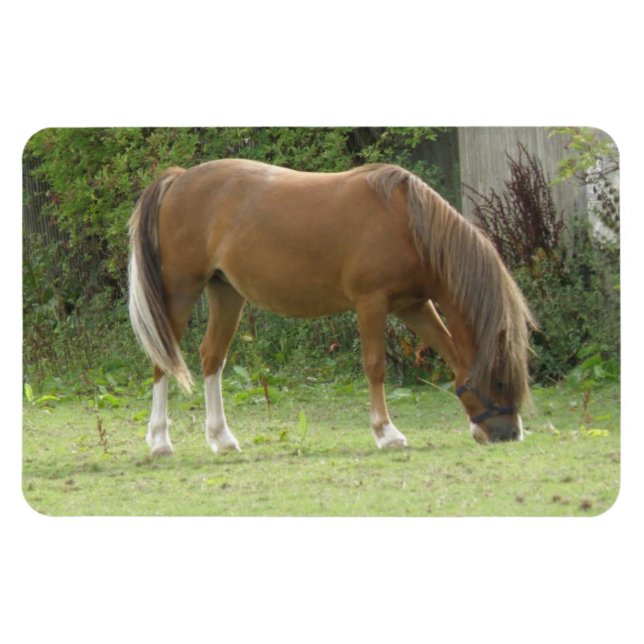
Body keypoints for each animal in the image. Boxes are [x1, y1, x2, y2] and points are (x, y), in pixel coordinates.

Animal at [128, 159, 534, 456]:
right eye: (500, 380)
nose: (509, 434)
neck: (409, 226)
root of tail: (178, 180)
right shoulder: (372, 303)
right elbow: (375, 366)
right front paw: (386, 433)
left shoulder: (415, 306)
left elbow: (451, 353)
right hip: (180, 292)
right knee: (163, 359)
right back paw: (160, 441)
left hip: (226, 293)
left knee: (212, 356)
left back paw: (222, 438)